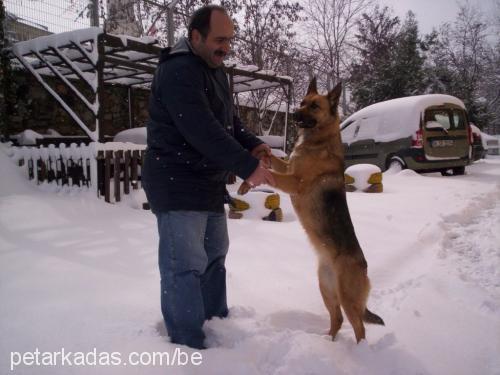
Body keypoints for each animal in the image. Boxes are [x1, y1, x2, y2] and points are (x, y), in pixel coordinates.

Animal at [238, 78, 382, 342]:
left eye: (314, 106)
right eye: (303, 102)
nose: (294, 114)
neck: (319, 140)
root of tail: (364, 268)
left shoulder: (294, 182)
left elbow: (269, 173)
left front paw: (248, 181)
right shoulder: (288, 168)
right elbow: (272, 160)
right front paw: (254, 167)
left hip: (346, 297)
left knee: (360, 328)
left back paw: (358, 350)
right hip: (326, 289)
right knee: (337, 319)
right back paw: (328, 342)